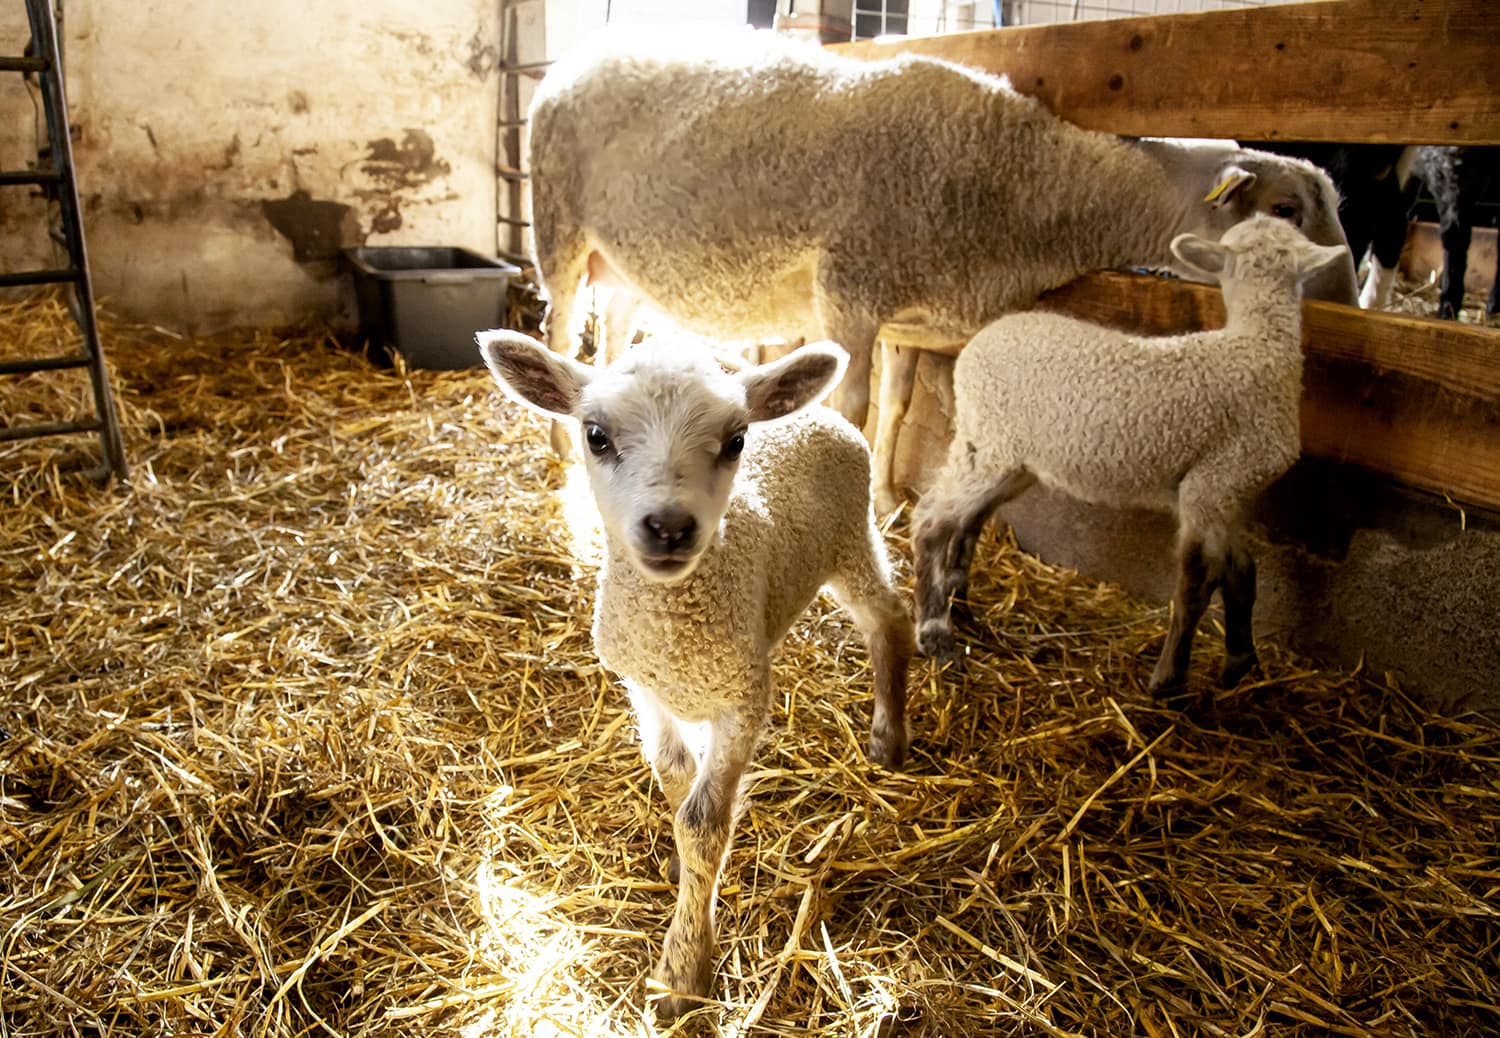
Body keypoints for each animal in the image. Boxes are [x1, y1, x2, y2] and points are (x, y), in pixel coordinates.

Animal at [474, 328, 912, 1020]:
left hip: (853, 538)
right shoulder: (645, 686)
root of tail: (821, 414)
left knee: (888, 620)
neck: (677, 622)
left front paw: (682, 972)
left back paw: (890, 736)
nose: (670, 526)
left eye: (735, 441)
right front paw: (686, 877)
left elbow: (704, 823)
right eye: (595, 435)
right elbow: (675, 779)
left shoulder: (745, 698)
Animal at [525, 26, 1362, 510]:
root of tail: (576, 60)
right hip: (558, 227)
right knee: (558, 337)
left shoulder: (914, 320)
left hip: (621, 265)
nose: (1350, 298)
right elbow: (853, 409)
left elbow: (897, 408)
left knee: (609, 339)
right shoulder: (852, 291)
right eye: (1286, 209)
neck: (1026, 186)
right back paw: (562, 452)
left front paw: (891, 495)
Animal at [912, 217, 1350, 705]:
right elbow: (1197, 585)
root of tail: (980, 341)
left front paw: (1240, 663)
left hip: (1007, 456)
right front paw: (1169, 679)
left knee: (967, 522)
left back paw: (963, 609)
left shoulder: (1230, 493)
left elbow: (1242, 574)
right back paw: (936, 634)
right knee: (932, 521)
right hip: (990, 444)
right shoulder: (1209, 486)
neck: (1259, 347)